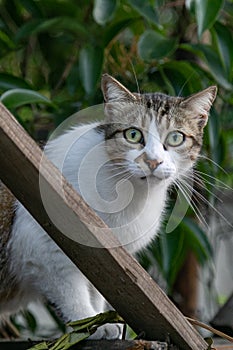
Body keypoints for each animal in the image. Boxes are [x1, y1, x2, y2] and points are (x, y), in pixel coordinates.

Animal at [0, 74, 217, 340]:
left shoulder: (106, 261)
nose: (153, 161)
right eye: (133, 134)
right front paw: (90, 323)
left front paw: (100, 319)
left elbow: (98, 290)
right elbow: (72, 292)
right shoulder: (42, 249)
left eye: (176, 138)